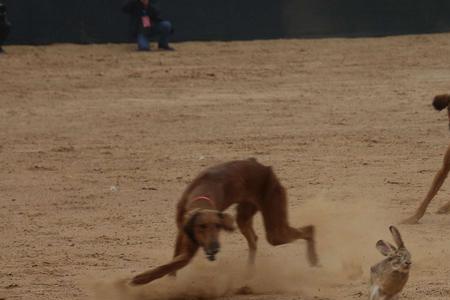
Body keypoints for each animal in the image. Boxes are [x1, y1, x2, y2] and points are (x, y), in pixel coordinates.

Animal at [130, 158, 320, 284]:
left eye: (218, 226)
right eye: (202, 226)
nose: (215, 248)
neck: (202, 193)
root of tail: (265, 168)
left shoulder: (190, 250)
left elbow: (170, 265)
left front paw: (139, 279)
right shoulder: (183, 233)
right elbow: (171, 264)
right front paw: (165, 281)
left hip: (274, 227)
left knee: (309, 228)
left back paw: (313, 259)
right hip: (244, 216)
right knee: (254, 240)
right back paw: (248, 273)